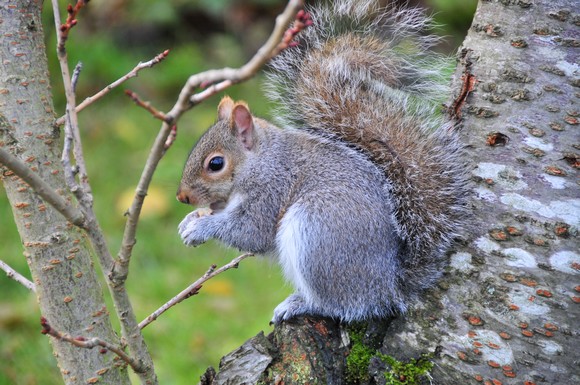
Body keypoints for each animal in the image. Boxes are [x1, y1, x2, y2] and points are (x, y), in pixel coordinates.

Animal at [174, 0, 468, 324]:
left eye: (215, 164)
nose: (182, 197)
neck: (261, 162)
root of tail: (389, 286)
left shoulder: (271, 191)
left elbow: (251, 232)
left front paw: (201, 228)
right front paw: (189, 220)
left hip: (318, 232)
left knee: (344, 305)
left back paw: (301, 304)